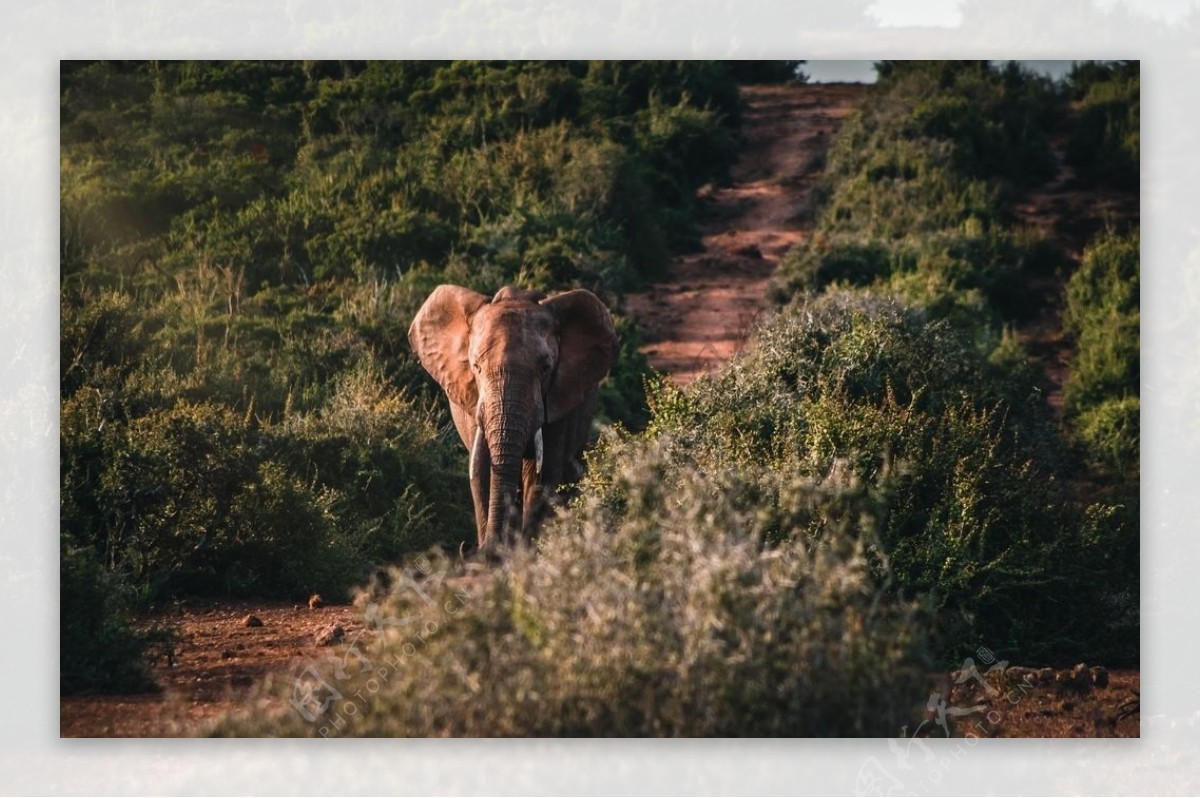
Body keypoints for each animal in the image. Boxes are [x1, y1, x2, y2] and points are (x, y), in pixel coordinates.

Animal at [412, 284, 619, 547]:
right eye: (476, 367)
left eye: (545, 369)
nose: (487, 548)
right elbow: (481, 472)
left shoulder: (557, 404)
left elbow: (541, 476)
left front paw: (523, 551)